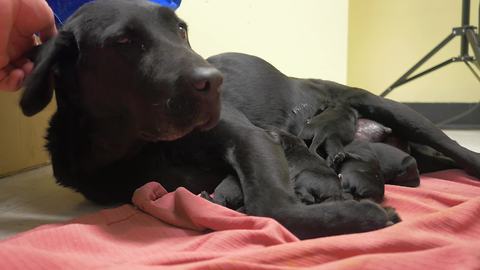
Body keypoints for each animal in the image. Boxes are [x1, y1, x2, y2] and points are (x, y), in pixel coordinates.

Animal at [18, 0, 480, 240]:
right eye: (124, 41)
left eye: (181, 29)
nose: (213, 81)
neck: (138, 144)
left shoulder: (250, 138)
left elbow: (270, 204)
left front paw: (362, 215)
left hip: (401, 114)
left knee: (460, 149)